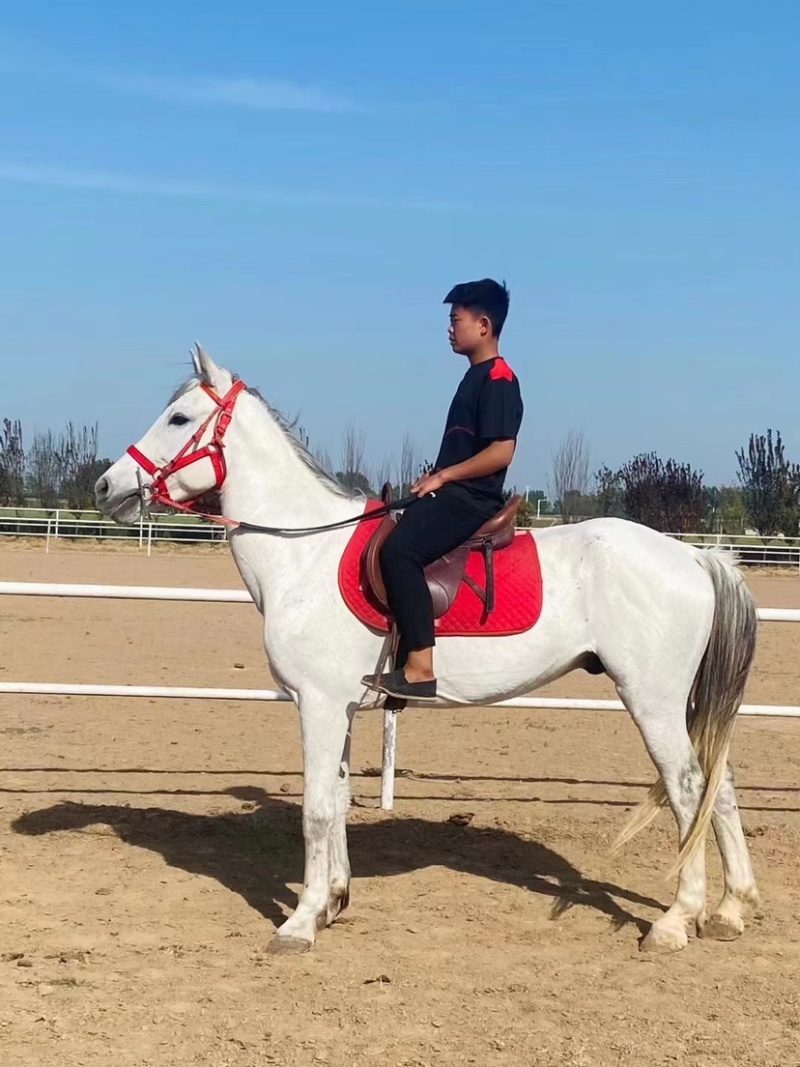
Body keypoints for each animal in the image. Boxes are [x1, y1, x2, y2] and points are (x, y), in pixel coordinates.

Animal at [95, 344, 760, 956]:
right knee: (719, 785)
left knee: (687, 788)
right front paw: (334, 901)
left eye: (179, 418)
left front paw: (300, 923)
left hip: (651, 700)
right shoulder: (338, 708)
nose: (107, 485)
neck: (304, 553)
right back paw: (732, 909)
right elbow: (338, 800)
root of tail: (696, 557)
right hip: (679, 704)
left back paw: (678, 919)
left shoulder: (317, 704)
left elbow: (315, 808)